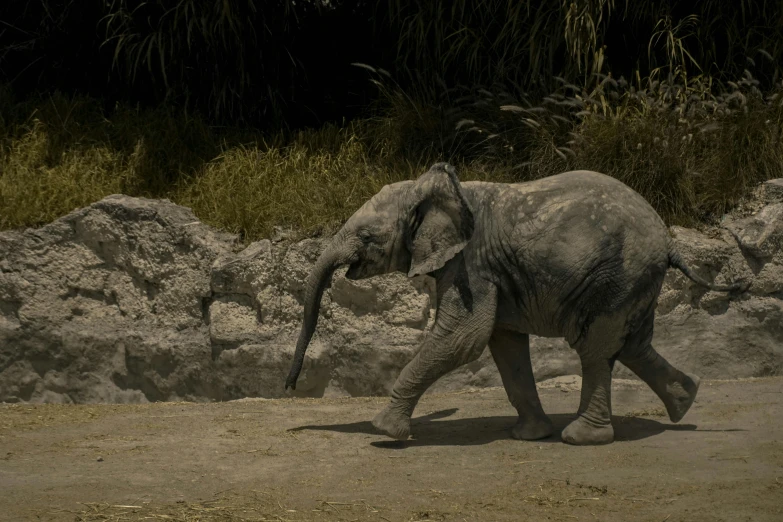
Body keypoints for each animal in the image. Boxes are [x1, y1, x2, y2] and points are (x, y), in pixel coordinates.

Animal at [284, 161, 748, 442]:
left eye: (367, 237)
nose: (289, 388)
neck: (439, 189)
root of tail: (670, 241)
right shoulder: (491, 273)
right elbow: (504, 344)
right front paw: (530, 435)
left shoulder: (471, 264)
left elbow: (463, 338)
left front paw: (384, 432)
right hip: (633, 279)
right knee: (631, 344)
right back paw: (685, 402)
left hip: (617, 273)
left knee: (595, 347)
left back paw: (582, 438)